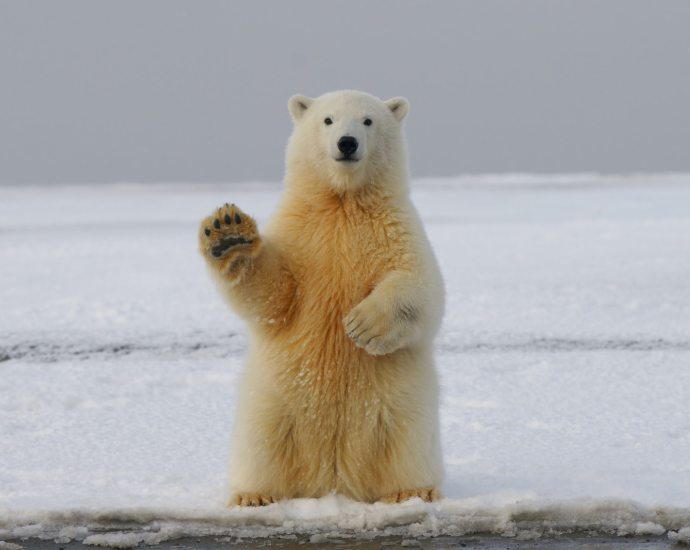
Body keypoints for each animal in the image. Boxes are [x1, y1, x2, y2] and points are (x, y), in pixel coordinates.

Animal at [198, 90, 446, 508]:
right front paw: (228, 233)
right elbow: (275, 295)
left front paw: (362, 325)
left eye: (368, 121)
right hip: (273, 403)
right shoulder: (300, 233)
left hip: (401, 407)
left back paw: (412, 491)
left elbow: (421, 286)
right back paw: (253, 495)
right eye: (327, 120)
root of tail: (333, 481)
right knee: (261, 444)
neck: (342, 202)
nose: (347, 143)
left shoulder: (397, 229)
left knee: (406, 443)